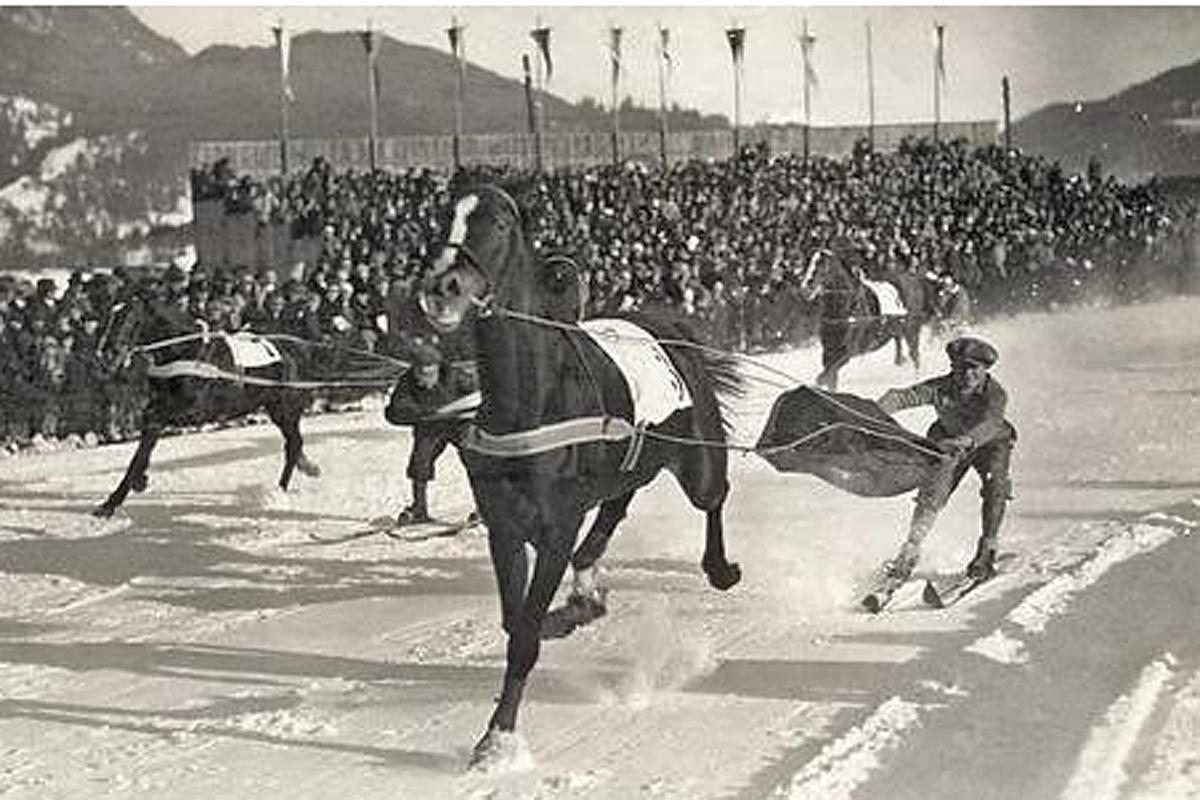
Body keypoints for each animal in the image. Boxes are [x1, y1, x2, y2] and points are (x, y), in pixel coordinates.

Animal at [91, 296, 319, 520]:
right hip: (276, 408)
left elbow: (152, 425)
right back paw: (305, 467)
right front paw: (116, 498)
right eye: (108, 319)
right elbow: (142, 449)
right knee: (293, 444)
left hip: (286, 408)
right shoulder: (158, 410)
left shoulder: (194, 412)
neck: (188, 352)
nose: (106, 356)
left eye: (131, 319)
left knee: (294, 444)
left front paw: (131, 487)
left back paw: (278, 492)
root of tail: (299, 350)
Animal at [420, 183, 739, 767]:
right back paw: (588, 579)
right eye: (443, 216)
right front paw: (577, 608)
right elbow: (517, 619)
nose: (443, 286)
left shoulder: (556, 526)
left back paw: (720, 568)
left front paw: (499, 738)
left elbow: (525, 631)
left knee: (713, 496)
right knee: (618, 503)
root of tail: (669, 324)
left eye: (500, 223)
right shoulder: (505, 526)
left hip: (699, 458)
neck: (531, 397)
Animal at [796, 247, 936, 391]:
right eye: (809, 263)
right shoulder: (829, 350)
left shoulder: (848, 352)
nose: (806, 288)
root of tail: (914, 280)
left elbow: (824, 376)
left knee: (915, 357)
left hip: (911, 331)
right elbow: (830, 378)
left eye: (823, 266)